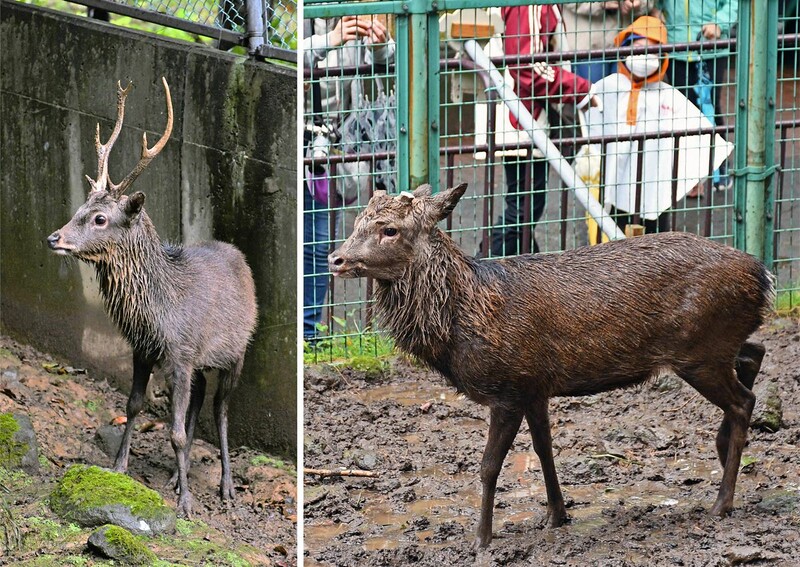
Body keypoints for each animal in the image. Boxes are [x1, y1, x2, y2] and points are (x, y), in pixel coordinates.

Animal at [47, 80, 258, 520]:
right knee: (199, 397)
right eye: (80, 208)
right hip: (199, 362)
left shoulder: (180, 353)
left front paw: (186, 505)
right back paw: (180, 474)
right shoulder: (145, 350)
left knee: (220, 409)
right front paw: (119, 467)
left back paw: (226, 486)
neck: (157, 312)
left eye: (100, 219)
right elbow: (133, 405)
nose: (53, 238)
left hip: (237, 352)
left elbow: (174, 431)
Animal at [328, 184, 772, 548]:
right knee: (755, 351)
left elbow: (489, 467)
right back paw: (722, 449)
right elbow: (545, 449)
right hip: (713, 346)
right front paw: (556, 515)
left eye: (389, 229)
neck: (464, 318)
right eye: (358, 220)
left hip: (699, 350)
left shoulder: (507, 387)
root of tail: (764, 275)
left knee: (743, 400)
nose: (336, 259)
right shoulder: (534, 386)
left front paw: (481, 540)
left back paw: (722, 501)